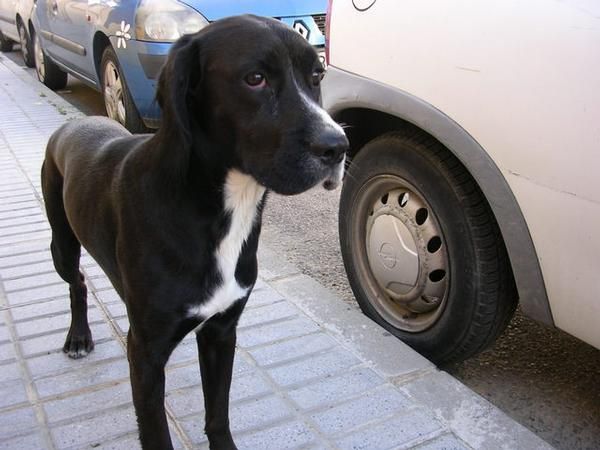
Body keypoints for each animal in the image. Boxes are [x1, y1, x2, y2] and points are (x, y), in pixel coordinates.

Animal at [41, 14, 346, 450]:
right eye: (255, 78)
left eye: (317, 75)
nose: (338, 146)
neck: (222, 208)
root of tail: (78, 122)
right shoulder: (146, 353)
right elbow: (156, 433)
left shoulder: (221, 332)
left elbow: (218, 414)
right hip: (61, 245)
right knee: (77, 280)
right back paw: (79, 336)